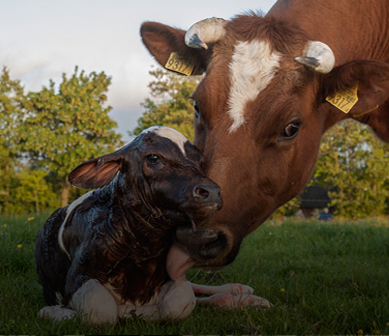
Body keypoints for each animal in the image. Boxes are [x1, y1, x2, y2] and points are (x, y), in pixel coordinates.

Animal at [36, 126, 270, 326]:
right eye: (153, 157)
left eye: (200, 161)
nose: (211, 191)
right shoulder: (78, 276)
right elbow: (101, 311)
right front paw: (56, 312)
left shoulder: (170, 277)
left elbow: (180, 302)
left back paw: (242, 293)